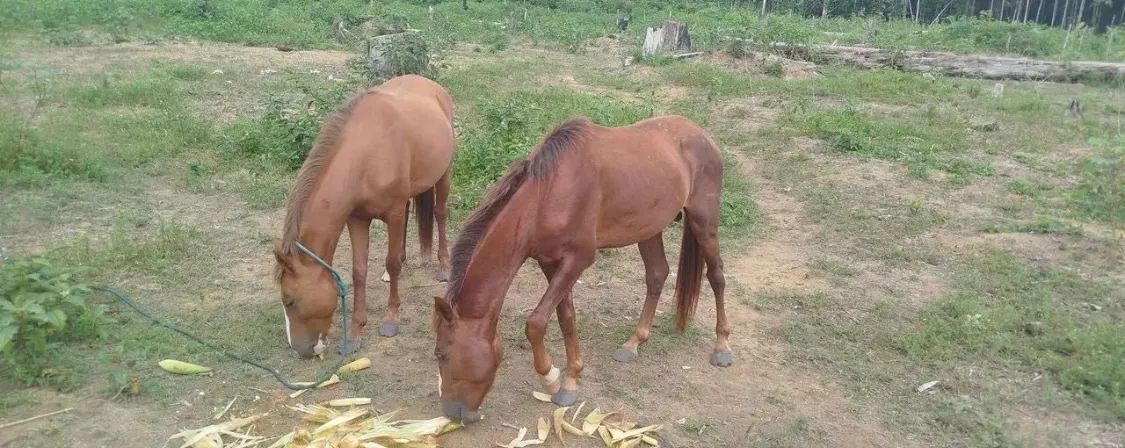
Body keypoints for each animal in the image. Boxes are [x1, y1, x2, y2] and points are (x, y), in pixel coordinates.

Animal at [273, 74, 456, 358]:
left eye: (289, 300)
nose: (300, 350)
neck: (366, 156)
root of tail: (429, 84)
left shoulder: (392, 213)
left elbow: (392, 262)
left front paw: (391, 319)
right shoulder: (357, 219)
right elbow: (359, 270)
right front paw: (356, 330)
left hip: (443, 174)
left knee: (440, 214)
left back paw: (444, 266)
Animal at [432, 115, 729, 423]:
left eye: (441, 353)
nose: (452, 412)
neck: (548, 194)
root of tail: (700, 133)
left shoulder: (578, 259)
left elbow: (536, 322)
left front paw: (551, 379)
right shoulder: (549, 261)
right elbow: (565, 317)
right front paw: (570, 378)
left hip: (704, 220)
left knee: (716, 276)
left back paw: (722, 347)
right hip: (650, 229)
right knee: (657, 275)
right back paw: (633, 343)